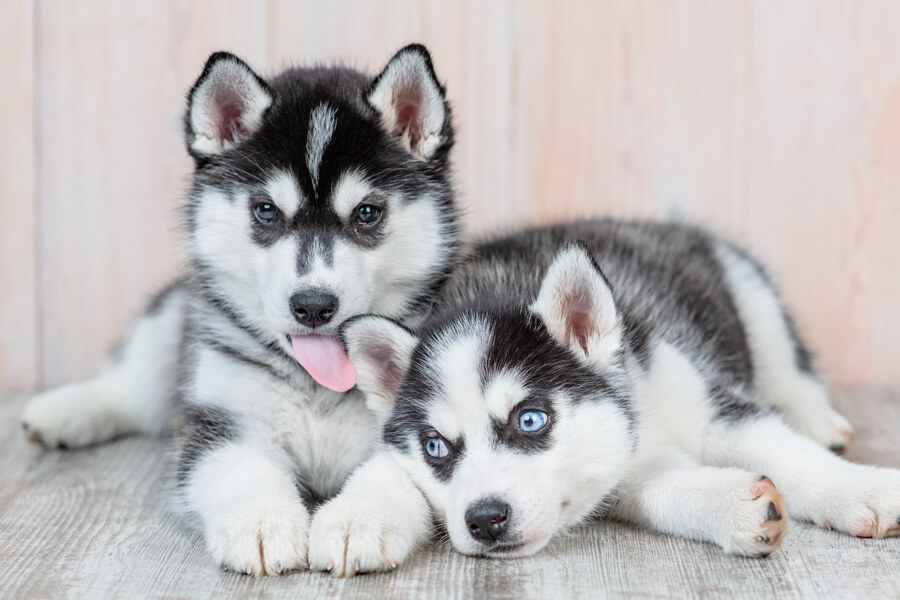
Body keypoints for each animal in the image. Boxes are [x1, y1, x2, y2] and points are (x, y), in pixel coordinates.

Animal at [22, 44, 458, 576]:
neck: (314, 385)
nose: (313, 305)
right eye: (266, 211)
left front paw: (359, 519)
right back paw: (65, 410)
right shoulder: (222, 420)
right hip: (176, 319)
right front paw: (264, 523)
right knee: (134, 387)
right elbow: (242, 470)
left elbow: (394, 471)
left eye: (367, 213)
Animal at [312, 221, 900, 576]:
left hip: (749, 289)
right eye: (435, 447)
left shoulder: (710, 407)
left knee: (790, 369)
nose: (484, 519)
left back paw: (816, 417)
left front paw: (866, 490)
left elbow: (790, 455)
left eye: (530, 420)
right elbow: (663, 488)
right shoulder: (623, 465)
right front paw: (358, 516)